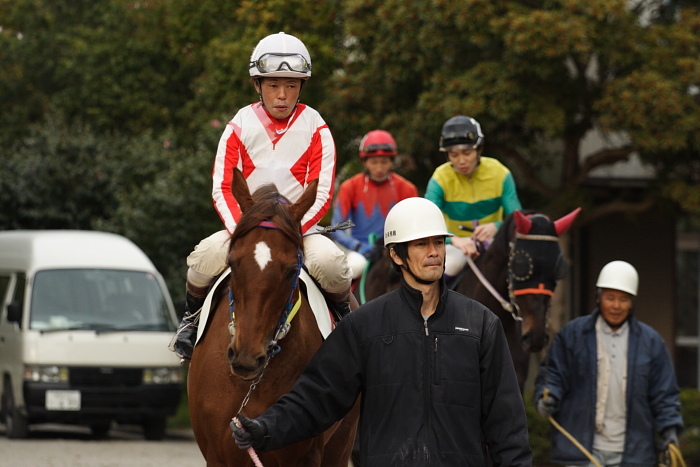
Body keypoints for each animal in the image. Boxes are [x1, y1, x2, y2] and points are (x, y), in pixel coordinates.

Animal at [187, 170, 358, 467]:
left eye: (291, 270)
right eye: (232, 263)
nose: (246, 357)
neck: (253, 386)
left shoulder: (304, 456)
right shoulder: (217, 455)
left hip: (341, 443)